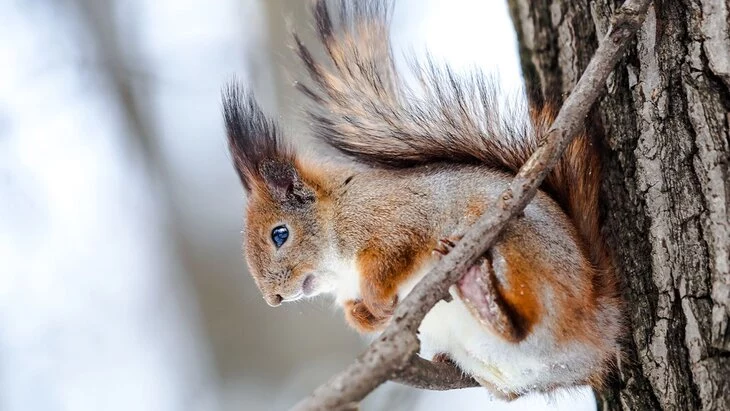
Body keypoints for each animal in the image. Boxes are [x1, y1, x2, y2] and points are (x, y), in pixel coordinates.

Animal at [222, 0, 620, 400]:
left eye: (280, 234)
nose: (272, 298)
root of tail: (599, 321)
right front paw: (365, 316)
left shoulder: (397, 218)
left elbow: (394, 252)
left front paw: (377, 300)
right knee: (514, 347)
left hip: (522, 250)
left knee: (525, 316)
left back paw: (480, 289)